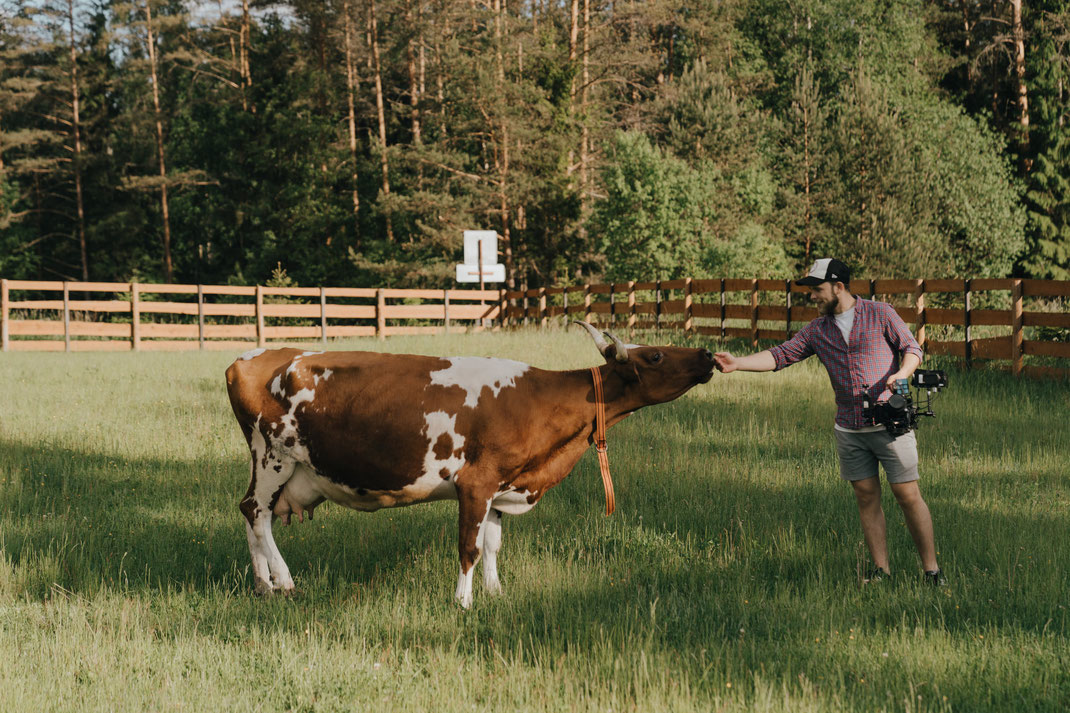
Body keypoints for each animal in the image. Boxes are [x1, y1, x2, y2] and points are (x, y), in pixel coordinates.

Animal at [223, 321, 710, 603]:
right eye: (656, 355)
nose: (707, 354)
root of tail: (251, 356)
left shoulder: (502, 485)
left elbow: (493, 544)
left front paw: (496, 592)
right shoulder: (476, 483)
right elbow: (469, 547)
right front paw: (464, 602)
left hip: (277, 467)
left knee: (251, 515)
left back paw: (263, 585)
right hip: (273, 456)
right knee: (257, 513)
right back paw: (284, 581)